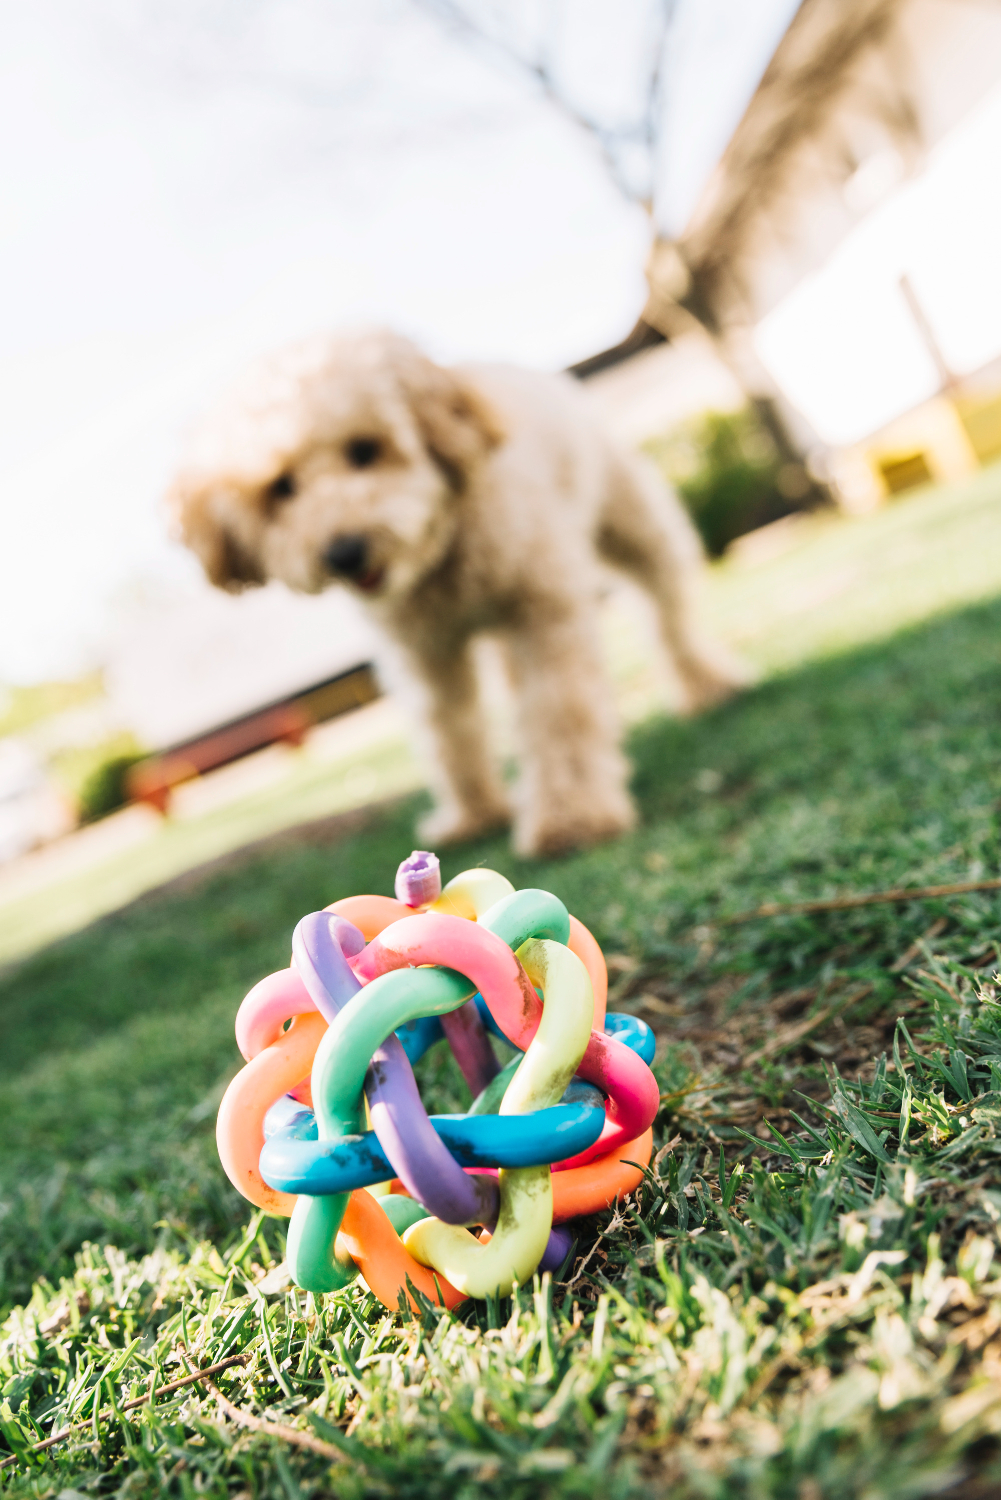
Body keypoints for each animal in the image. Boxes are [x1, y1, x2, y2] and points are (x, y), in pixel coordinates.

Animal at [170, 334, 744, 864]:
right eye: (282, 487)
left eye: (364, 450)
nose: (345, 552)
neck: (442, 559)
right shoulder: (425, 651)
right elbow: (450, 730)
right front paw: (475, 815)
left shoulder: (542, 609)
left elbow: (559, 713)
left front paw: (572, 816)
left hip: (630, 519)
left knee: (666, 601)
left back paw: (706, 683)